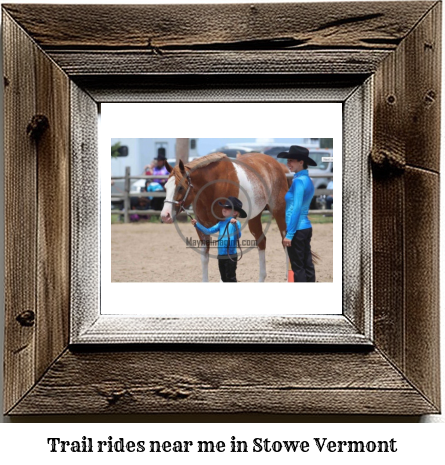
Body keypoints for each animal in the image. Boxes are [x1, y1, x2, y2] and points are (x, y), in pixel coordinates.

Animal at [161, 154, 290, 280]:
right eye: (165, 187)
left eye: (181, 187)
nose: (165, 215)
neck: (213, 186)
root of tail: (277, 165)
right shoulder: (202, 227)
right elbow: (205, 258)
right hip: (254, 216)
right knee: (261, 241)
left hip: (279, 212)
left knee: (285, 241)